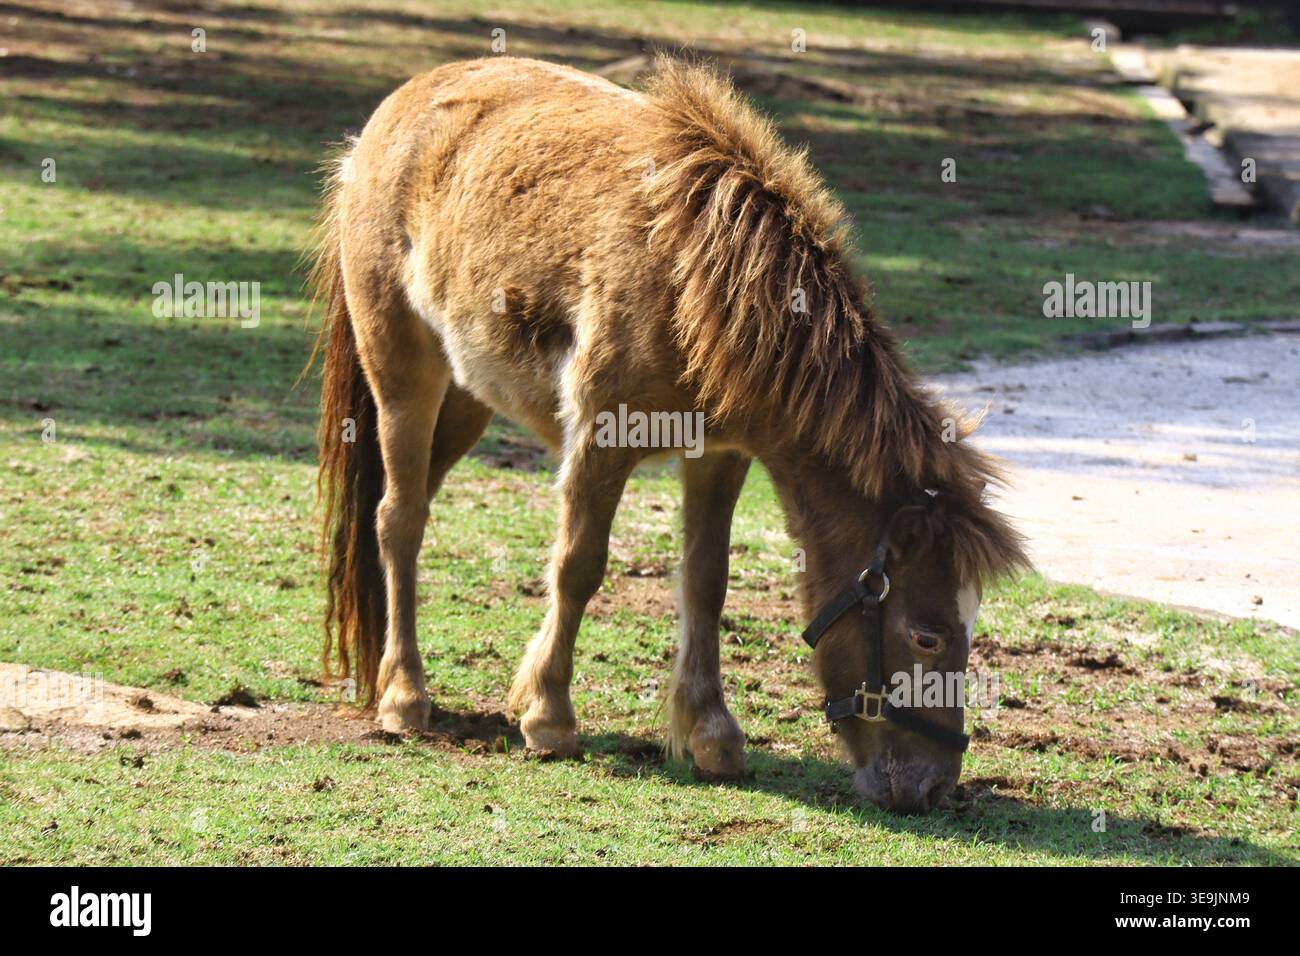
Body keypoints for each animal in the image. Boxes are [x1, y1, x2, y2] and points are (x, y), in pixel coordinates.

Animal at [309, 55, 1028, 812]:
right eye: (927, 635)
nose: (931, 785)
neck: (699, 277)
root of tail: (384, 123)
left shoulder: (721, 456)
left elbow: (706, 582)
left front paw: (711, 733)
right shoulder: (602, 436)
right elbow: (578, 567)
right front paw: (549, 717)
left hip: (466, 398)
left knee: (398, 511)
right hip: (404, 377)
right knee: (399, 519)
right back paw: (403, 697)